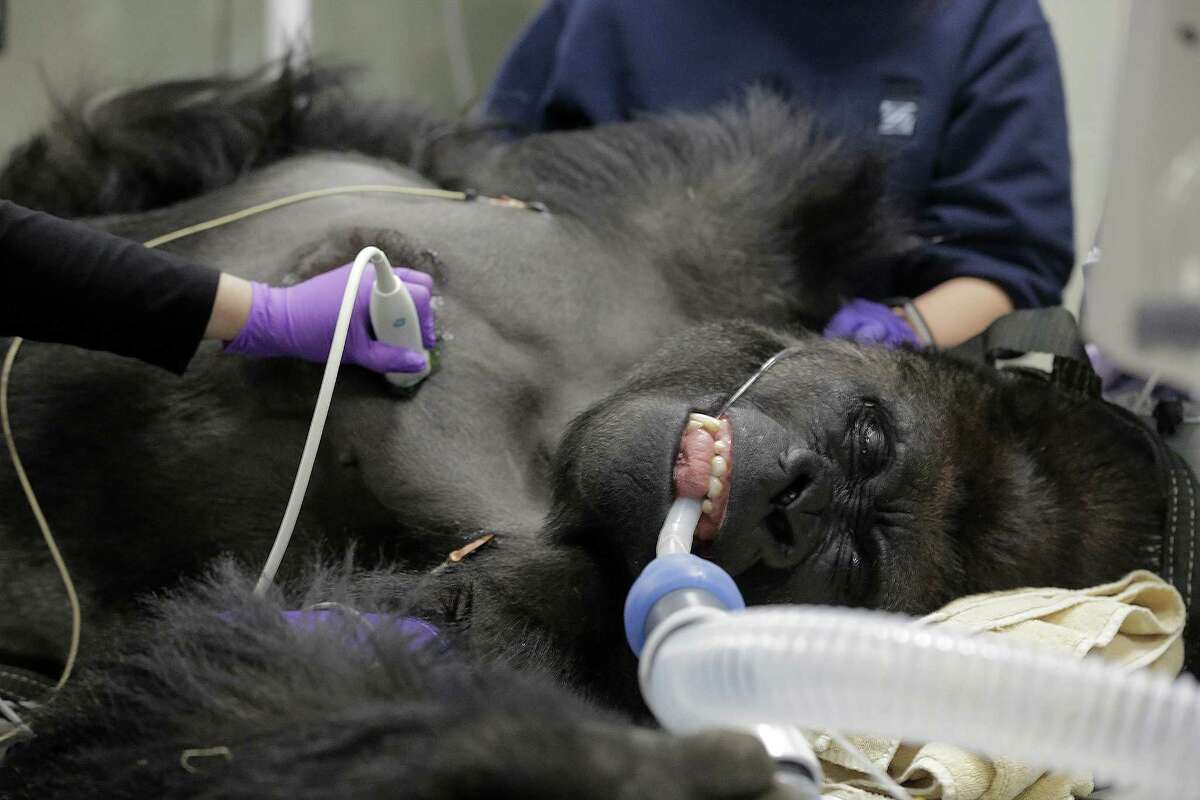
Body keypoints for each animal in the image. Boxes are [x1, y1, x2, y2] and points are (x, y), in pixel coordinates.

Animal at [0, 67, 1195, 796]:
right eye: (867, 442)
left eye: (856, 564)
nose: (794, 499)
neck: (572, 409)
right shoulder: (732, 198)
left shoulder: (559, 625)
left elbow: (237, 707)